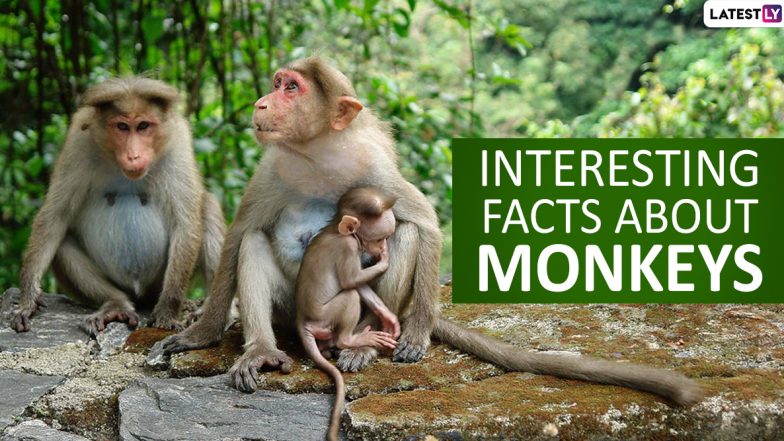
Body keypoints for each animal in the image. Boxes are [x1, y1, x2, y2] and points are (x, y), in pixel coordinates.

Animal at [10, 77, 225, 337]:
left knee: (208, 206)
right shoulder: (78, 141)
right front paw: (28, 298)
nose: (133, 156)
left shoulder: (178, 142)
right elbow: (55, 216)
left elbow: (185, 224)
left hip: (157, 285)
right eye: (122, 127)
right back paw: (115, 305)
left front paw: (167, 312)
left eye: (143, 126)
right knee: (61, 241)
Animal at [159, 57, 703, 406]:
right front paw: (200, 333)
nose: (262, 102)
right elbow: (242, 233)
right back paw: (263, 351)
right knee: (254, 245)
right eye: (277, 82)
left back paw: (363, 345)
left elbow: (424, 223)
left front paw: (419, 331)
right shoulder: (273, 166)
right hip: (289, 312)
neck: (316, 152)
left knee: (403, 234)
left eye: (291, 88)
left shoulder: (373, 166)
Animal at [296, 186, 400, 441]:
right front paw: (384, 261)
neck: (337, 230)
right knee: (349, 296)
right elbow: (351, 281)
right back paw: (351, 340)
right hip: (325, 315)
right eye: (380, 238)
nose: (383, 247)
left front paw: (389, 318)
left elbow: (359, 284)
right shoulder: (348, 248)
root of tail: (301, 319)